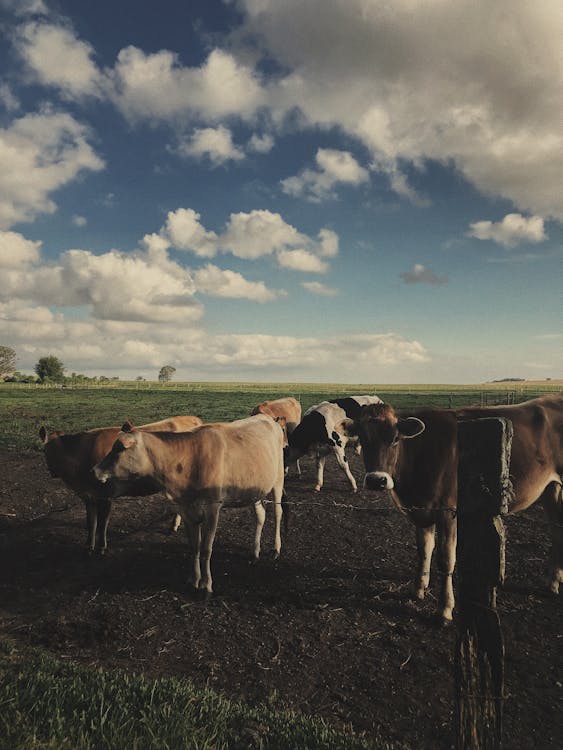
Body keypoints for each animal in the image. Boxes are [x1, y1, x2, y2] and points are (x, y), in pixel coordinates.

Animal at [39, 414, 204, 556]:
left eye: (58, 451)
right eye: (45, 450)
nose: (53, 471)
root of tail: (195, 419)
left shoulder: (105, 495)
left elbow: (102, 524)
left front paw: (101, 547)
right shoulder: (88, 496)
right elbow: (91, 523)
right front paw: (88, 546)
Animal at [94, 412, 286, 600]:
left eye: (119, 449)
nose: (95, 471)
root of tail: (268, 418)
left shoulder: (212, 508)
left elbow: (206, 549)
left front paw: (207, 585)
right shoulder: (185, 509)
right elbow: (194, 547)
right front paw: (194, 581)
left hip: (278, 479)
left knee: (278, 512)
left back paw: (276, 549)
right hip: (255, 488)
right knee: (260, 515)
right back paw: (255, 552)